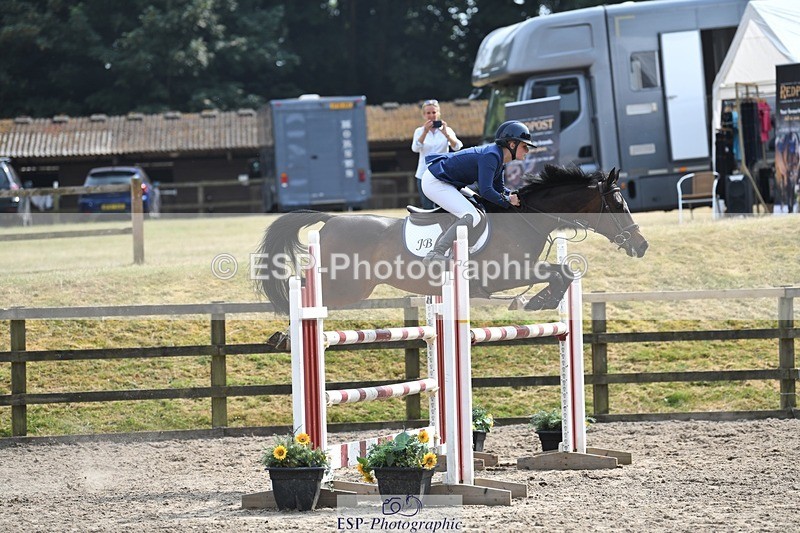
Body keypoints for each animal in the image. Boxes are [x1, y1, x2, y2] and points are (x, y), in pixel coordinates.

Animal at [255, 165, 649, 314]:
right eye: (617, 203)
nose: (641, 245)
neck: (526, 219)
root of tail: (332, 218)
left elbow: (565, 271)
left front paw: (538, 302)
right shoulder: (505, 273)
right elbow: (559, 271)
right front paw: (538, 302)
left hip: (354, 289)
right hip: (343, 287)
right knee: (305, 286)